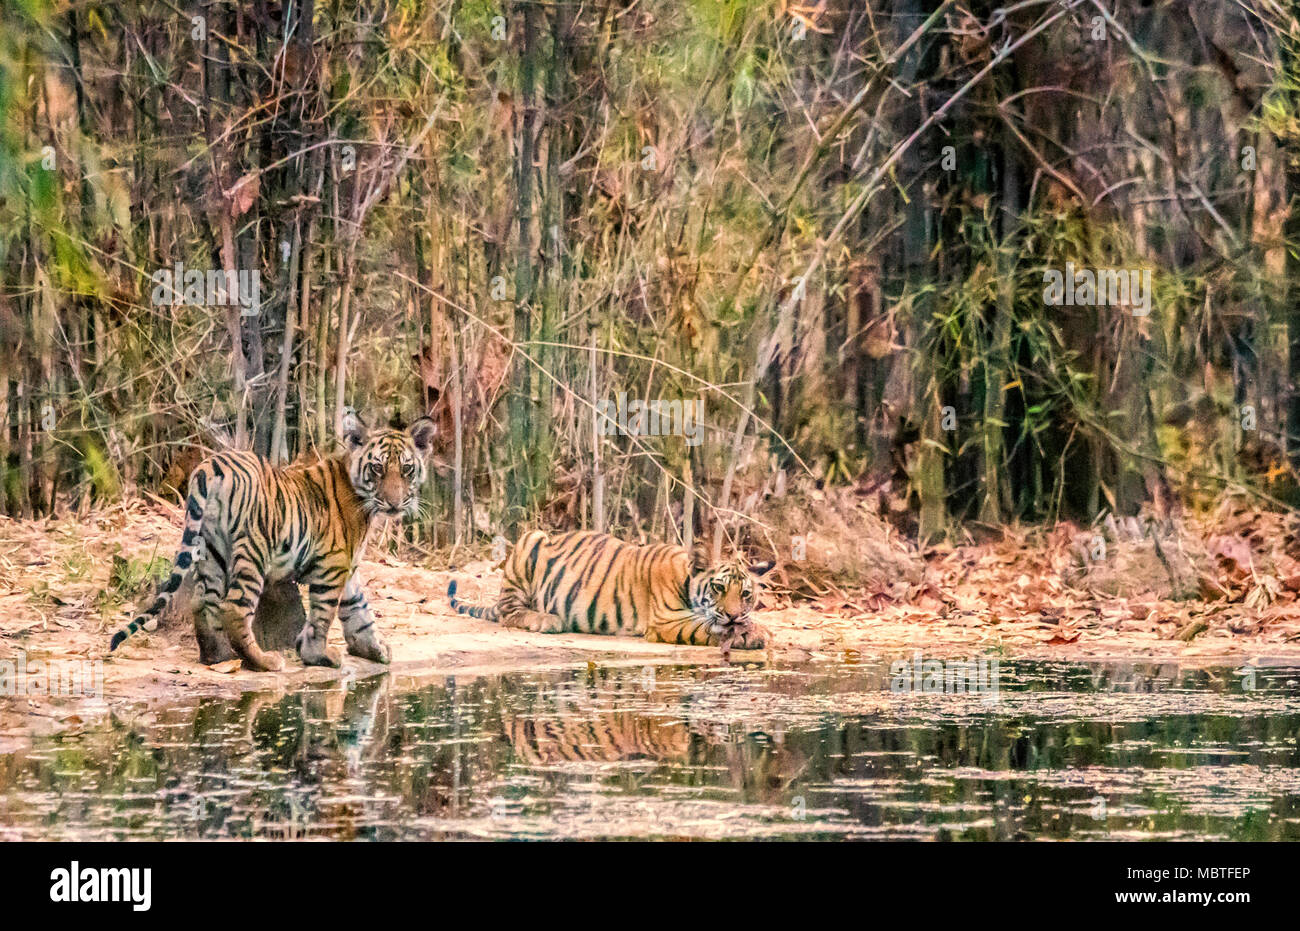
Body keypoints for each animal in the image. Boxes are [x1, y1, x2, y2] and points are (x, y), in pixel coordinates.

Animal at [108, 410, 436, 672]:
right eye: (378, 468)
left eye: (407, 469)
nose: (394, 503)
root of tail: (212, 465)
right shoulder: (333, 565)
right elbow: (325, 614)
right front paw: (318, 655)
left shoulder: (347, 566)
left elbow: (359, 609)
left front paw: (375, 650)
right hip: (253, 549)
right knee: (234, 607)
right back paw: (263, 661)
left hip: (210, 548)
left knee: (204, 602)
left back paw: (218, 657)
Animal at [446, 530, 774, 656]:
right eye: (718, 588)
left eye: (746, 594)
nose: (733, 614)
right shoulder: (667, 622)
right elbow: (711, 627)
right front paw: (752, 634)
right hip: (531, 540)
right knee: (508, 612)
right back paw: (546, 620)